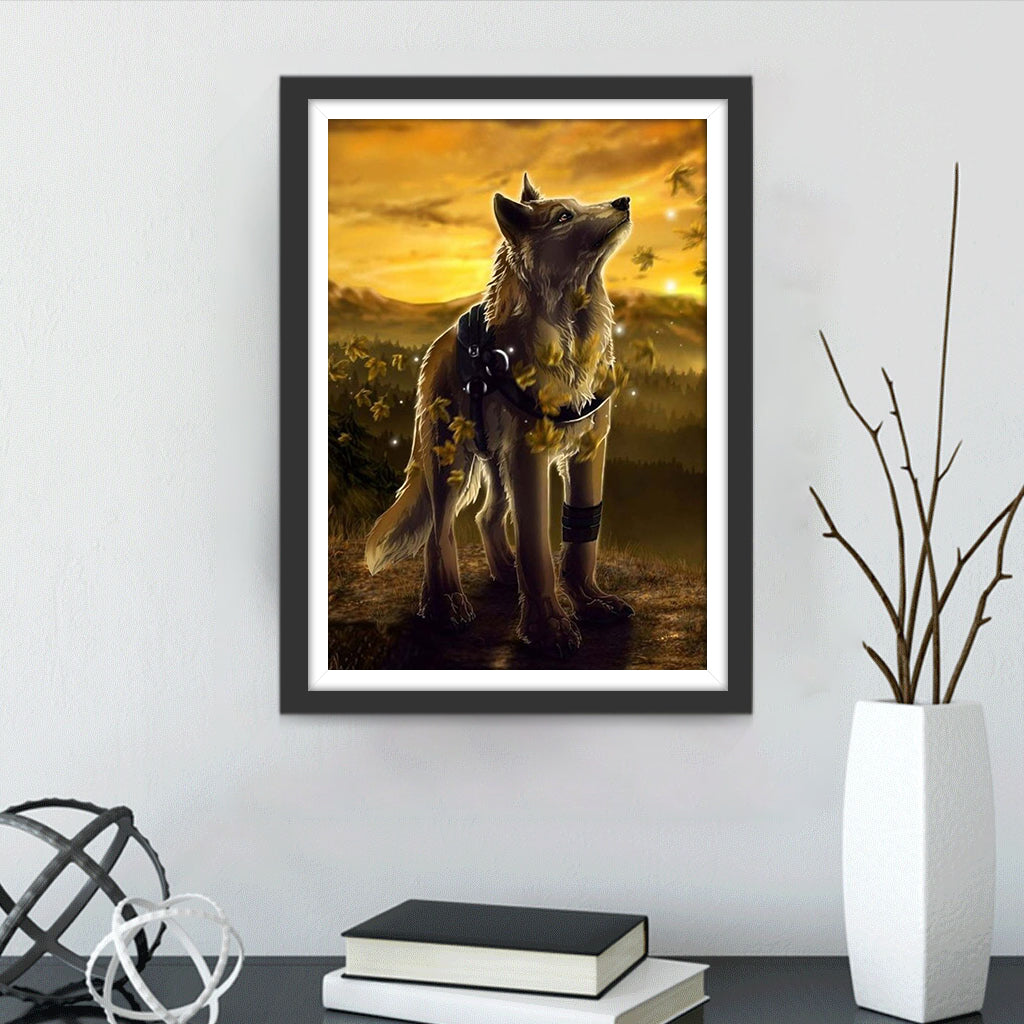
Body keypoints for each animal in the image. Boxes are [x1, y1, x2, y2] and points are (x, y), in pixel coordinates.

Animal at [365, 173, 634, 657]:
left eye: (580, 204)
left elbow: (582, 534)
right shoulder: (530, 454)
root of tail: (437, 348)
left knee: (486, 517)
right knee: (440, 532)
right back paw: (445, 605)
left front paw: (590, 602)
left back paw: (504, 574)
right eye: (563, 216)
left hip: (496, 462)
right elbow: (535, 544)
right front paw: (547, 629)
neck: (569, 332)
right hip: (449, 461)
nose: (623, 201)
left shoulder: (588, 449)